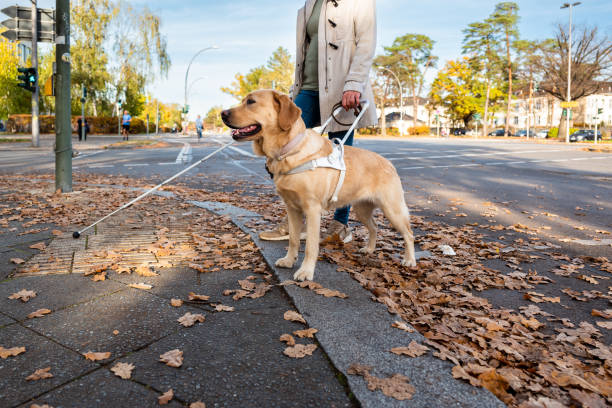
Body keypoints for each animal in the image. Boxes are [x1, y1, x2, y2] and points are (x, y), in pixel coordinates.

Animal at [220, 89, 416, 280]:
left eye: (251, 102)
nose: (222, 113)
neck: (290, 151)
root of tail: (390, 163)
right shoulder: (292, 208)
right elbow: (293, 239)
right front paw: (289, 260)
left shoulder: (313, 210)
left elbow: (310, 246)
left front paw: (306, 271)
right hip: (362, 210)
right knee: (374, 228)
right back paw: (369, 249)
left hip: (392, 210)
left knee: (409, 234)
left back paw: (409, 260)